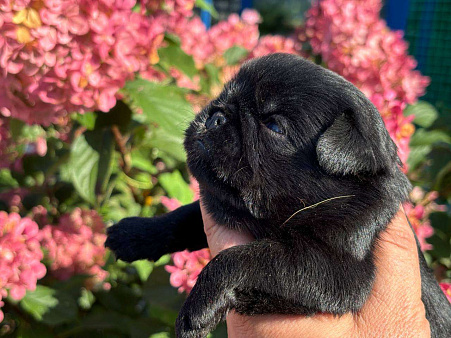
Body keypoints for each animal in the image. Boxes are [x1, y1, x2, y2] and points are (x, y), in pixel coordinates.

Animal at [107, 54, 451, 336]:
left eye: (273, 125)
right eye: (223, 97)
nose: (216, 115)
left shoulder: (341, 274)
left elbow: (245, 258)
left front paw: (200, 306)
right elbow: (185, 217)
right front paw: (135, 233)